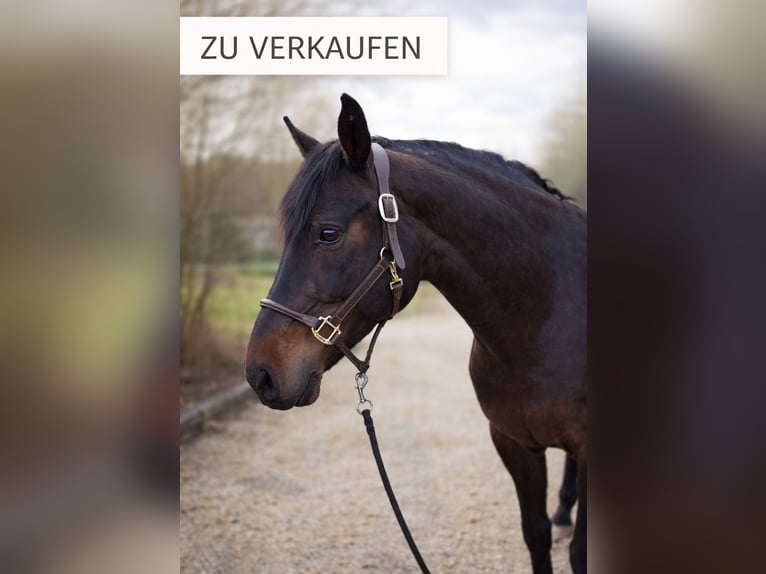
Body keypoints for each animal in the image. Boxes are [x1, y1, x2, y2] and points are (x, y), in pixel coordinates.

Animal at [245, 93, 587, 574]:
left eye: (327, 233)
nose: (260, 373)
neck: (545, 313)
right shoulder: (514, 443)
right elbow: (535, 534)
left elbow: (580, 550)